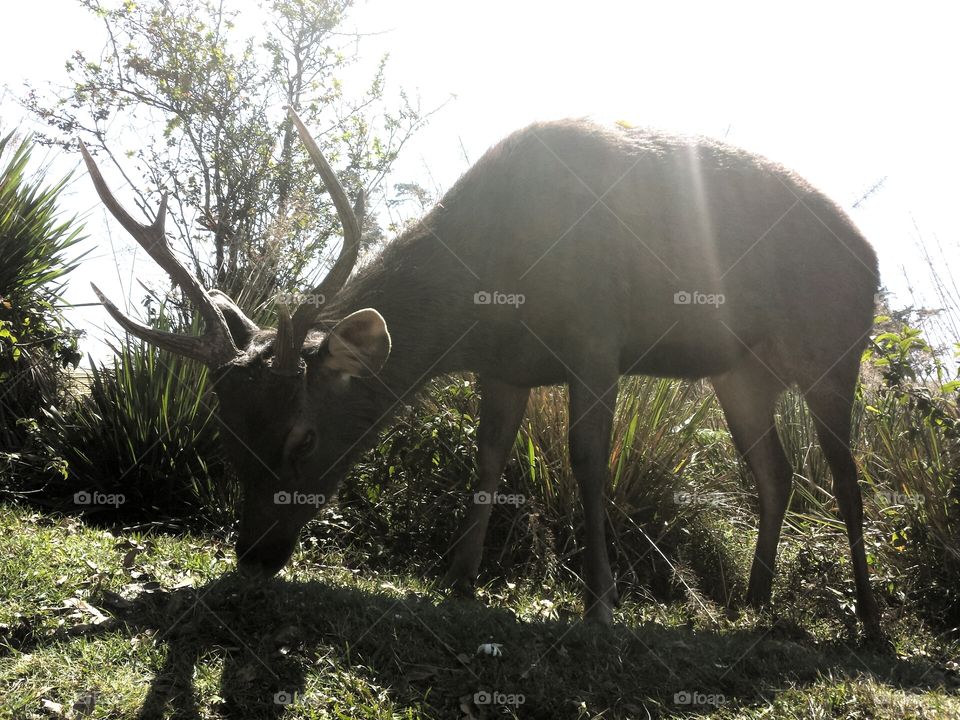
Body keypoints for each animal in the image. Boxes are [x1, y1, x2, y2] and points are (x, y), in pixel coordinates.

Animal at [84, 107, 884, 636]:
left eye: (302, 438)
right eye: (224, 435)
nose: (253, 554)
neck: (489, 288)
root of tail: (871, 255)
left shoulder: (597, 340)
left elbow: (587, 461)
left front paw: (600, 606)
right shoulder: (505, 369)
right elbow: (489, 457)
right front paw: (459, 580)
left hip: (834, 349)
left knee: (849, 482)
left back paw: (868, 626)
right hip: (741, 372)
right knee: (776, 472)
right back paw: (755, 601)